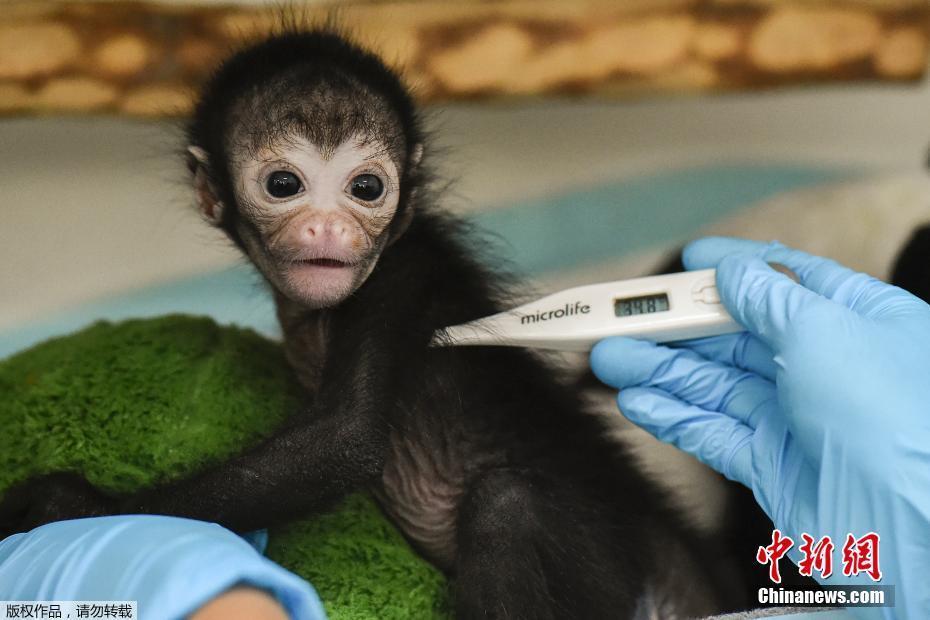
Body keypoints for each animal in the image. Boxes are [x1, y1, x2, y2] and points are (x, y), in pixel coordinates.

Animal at [1, 30, 740, 620]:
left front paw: (63, 505)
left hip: (603, 563)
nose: (328, 228)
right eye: (283, 186)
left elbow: (343, 439)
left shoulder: (397, 275)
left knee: (508, 503)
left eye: (366, 189)